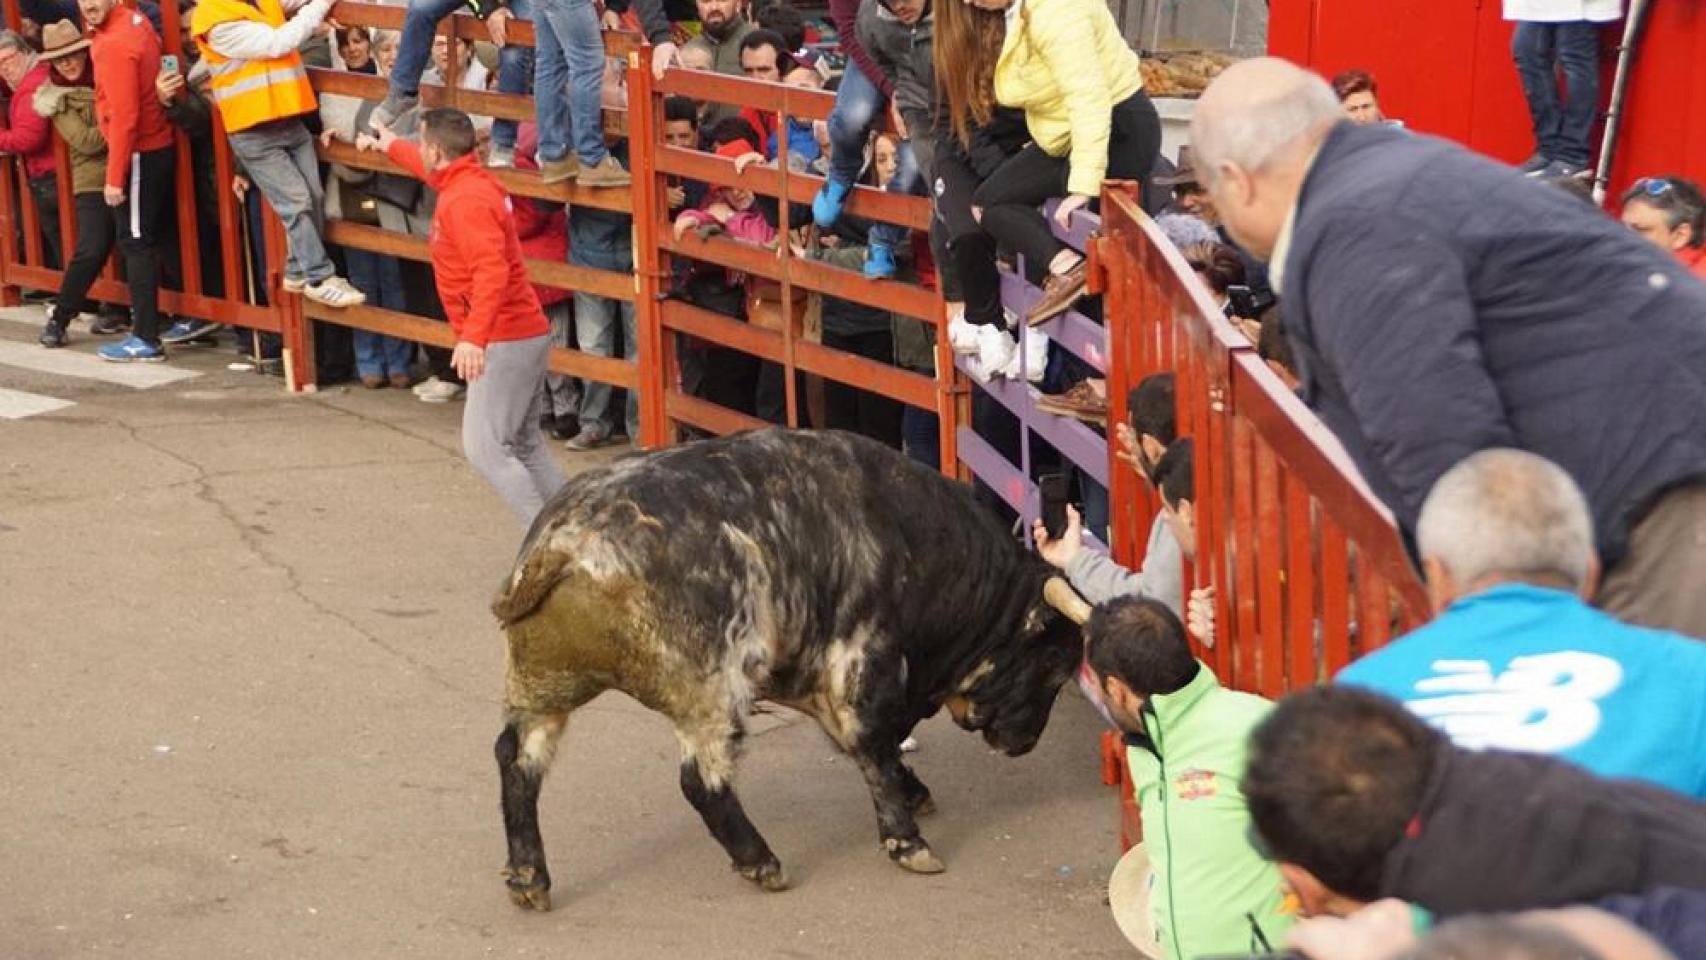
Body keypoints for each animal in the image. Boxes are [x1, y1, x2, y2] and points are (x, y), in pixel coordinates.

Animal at [491, 427, 1091, 907]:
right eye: (1054, 669)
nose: (1024, 742)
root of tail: (570, 539)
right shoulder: (861, 666)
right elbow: (874, 747)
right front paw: (908, 840)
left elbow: (873, 748)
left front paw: (914, 792)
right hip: (710, 698)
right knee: (702, 782)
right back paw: (759, 861)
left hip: (542, 685)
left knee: (516, 759)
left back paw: (528, 875)